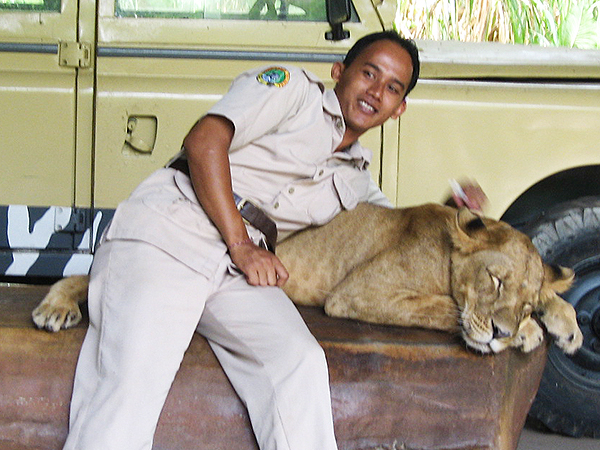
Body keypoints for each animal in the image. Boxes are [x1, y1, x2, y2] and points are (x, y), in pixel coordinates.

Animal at [31, 204, 580, 356]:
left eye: (524, 299)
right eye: (495, 281)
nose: (506, 328)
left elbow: (557, 293)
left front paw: (562, 326)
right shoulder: (357, 292)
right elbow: (443, 307)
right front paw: (524, 335)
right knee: (88, 275)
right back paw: (56, 308)